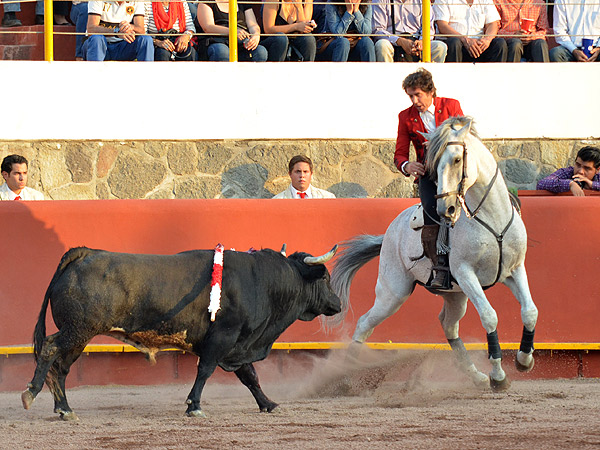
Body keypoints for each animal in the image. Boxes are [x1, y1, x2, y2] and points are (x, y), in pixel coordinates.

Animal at [21, 244, 340, 420]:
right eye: (325, 277)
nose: (337, 303)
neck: (261, 280)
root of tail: (83, 253)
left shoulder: (237, 345)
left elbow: (250, 376)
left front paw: (269, 404)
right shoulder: (223, 337)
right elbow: (205, 371)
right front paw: (194, 406)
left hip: (79, 337)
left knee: (61, 368)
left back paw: (64, 409)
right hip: (78, 330)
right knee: (50, 349)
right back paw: (31, 393)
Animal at [332, 116, 540, 390]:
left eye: (457, 159)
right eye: (432, 165)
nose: (446, 209)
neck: (492, 219)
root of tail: (388, 232)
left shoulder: (515, 269)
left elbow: (530, 311)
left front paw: (524, 361)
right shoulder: (466, 274)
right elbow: (489, 316)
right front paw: (498, 376)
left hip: (455, 296)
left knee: (449, 326)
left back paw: (476, 375)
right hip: (393, 292)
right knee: (365, 323)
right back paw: (344, 377)